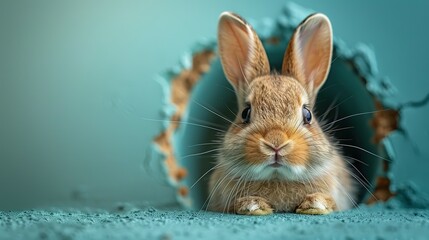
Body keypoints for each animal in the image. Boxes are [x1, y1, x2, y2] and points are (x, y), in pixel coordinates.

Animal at [207, 11, 354, 216]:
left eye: (307, 114)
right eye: (245, 113)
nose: (276, 143)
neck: (277, 177)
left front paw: (315, 204)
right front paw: (253, 205)